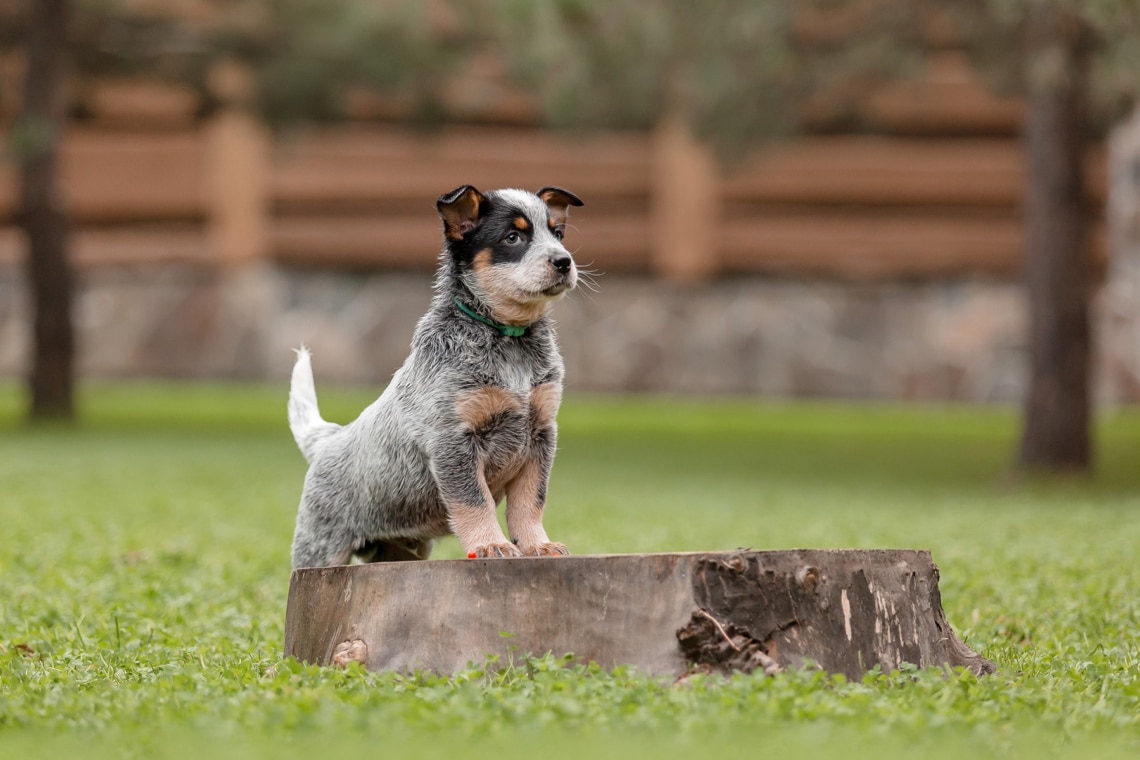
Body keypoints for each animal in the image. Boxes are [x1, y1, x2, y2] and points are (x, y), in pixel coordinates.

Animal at [289, 184, 583, 567]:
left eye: (557, 234)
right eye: (513, 237)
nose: (564, 261)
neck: (507, 338)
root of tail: (328, 439)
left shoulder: (540, 435)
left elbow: (531, 501)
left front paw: (537, 545)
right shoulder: (452, 440)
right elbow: (475, 501)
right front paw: (490, 544)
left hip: (399, 550)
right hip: (319, 551)